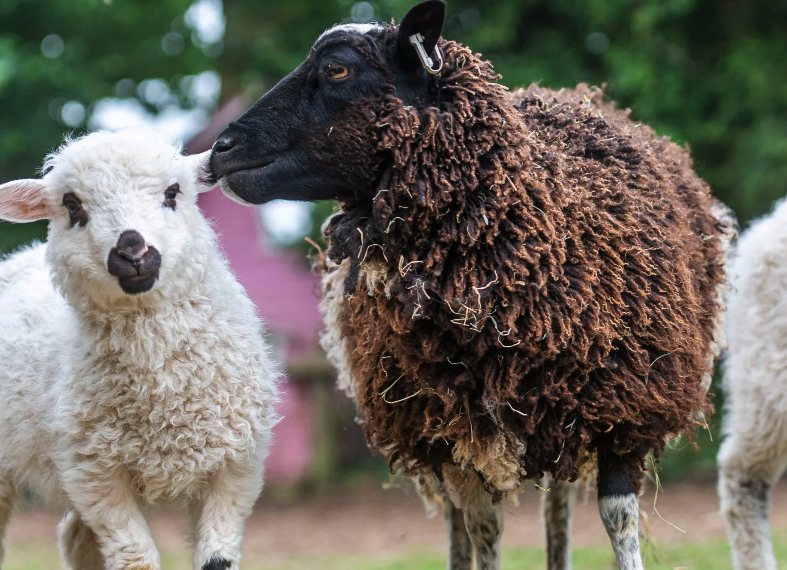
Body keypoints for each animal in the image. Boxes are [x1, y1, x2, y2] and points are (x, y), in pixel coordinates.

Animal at [0, 129, 282, 568]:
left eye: (173, 192)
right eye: (72, 205)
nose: (132, 251)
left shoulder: (236, 468)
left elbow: (217, 559)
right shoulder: (96, 475)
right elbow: (137, 560)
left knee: (76, 539)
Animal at [209, 2, 732, 564]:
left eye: (337, 69)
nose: (221, 147)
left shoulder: (625, 414)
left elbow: (620, 523)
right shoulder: (457, 434)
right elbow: (484, 528)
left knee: (559, 503)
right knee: (462, 521)